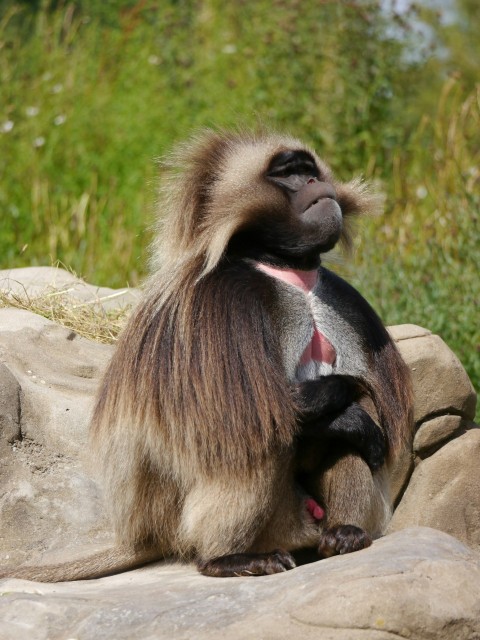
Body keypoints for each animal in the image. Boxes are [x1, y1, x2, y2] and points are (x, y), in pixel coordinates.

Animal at [0, 129, 412, 580]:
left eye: (309, 170)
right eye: (287, 173)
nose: (312, 183)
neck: (288, 270)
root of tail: (146, 534)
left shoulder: (344, 300)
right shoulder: (223, 302)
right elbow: (266, 405)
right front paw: (351, 406)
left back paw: (345, 534)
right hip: (209, 517)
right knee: (249, 429)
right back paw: (229, 558)